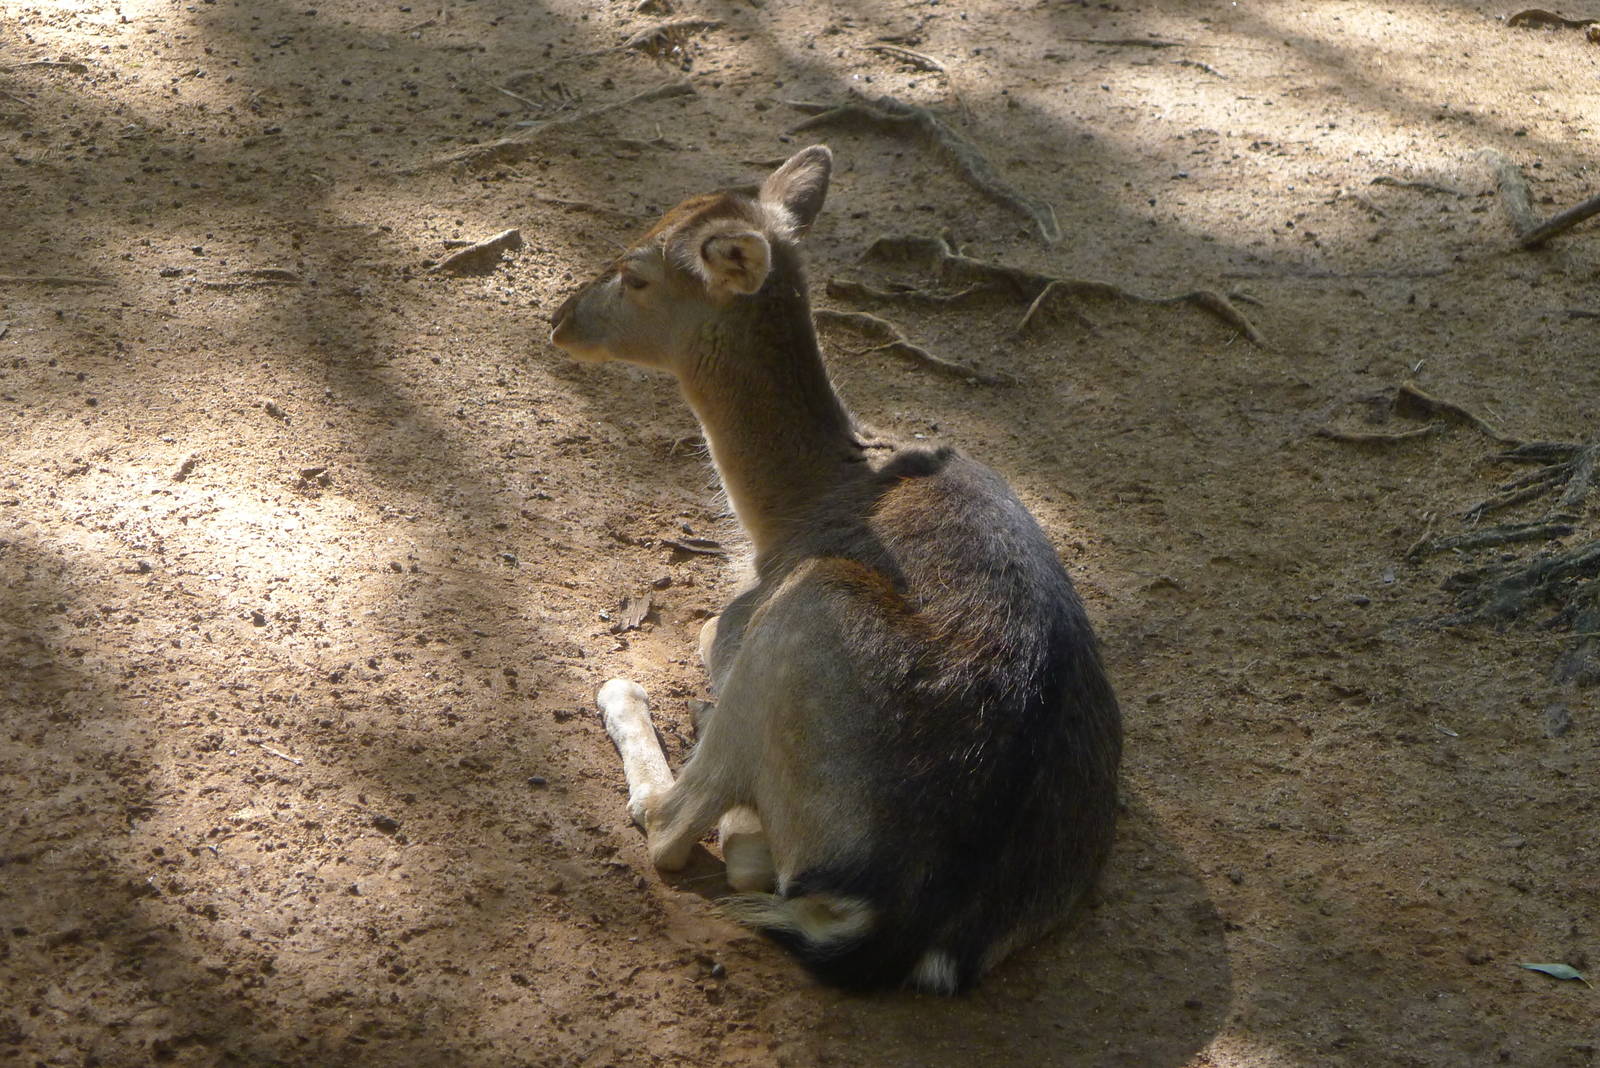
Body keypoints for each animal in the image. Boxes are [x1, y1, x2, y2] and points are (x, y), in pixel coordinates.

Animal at [548, 146, 1122, 994]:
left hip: (799, 617)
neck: (789, 511)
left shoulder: (736, 622)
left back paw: (645, 709)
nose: (558, 318)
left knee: (674, 830)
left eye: (638, 272)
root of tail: (903, 926)